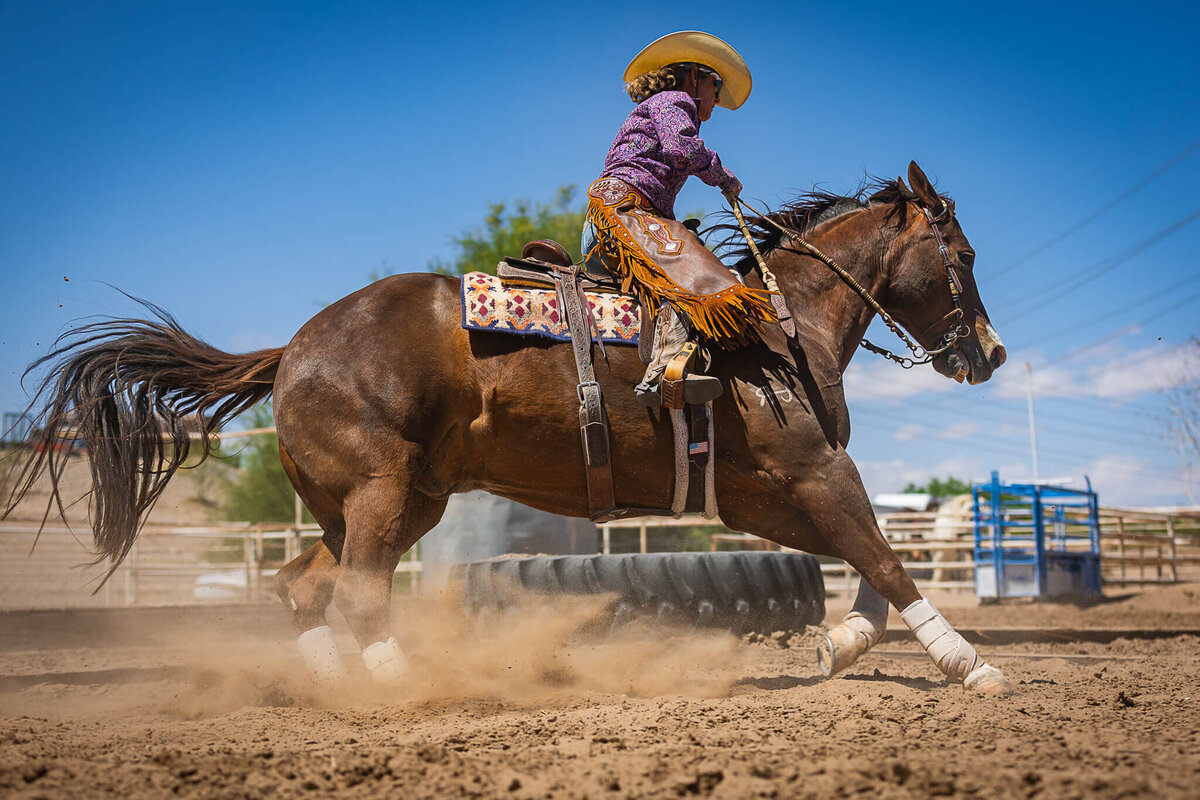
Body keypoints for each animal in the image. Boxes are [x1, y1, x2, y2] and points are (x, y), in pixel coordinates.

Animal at [2, 164, 1012, 695]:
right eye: (961, 255)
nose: (992, 354)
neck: (777, 324)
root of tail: (294, 345)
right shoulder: (811, 470)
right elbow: (884, 555)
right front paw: (969, 664)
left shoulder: (761, 496)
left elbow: (864, 560)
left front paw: (843, 644)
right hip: (380, 493)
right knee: (357, 593)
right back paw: (401, 684)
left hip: (386, 502)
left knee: (301, 586)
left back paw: (336, 681)